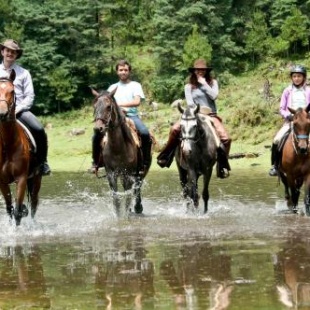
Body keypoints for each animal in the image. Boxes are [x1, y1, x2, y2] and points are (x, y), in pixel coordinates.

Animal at [0, 70, 42, 225]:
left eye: (12, 91)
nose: (2, 114)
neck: (8, 144)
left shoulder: (22, 179)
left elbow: (17, 211)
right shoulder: (2, 182)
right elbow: (9, 210)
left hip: (36, 178)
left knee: (34, 203)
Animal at [91, 87, 151, 216]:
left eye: (109, 106)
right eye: (95, 106)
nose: (98, 129)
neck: (117, 149)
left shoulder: (128, 174)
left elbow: (127, 197)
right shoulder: (111, 174)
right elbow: (116, 199)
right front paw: (119, 216)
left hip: (141, 172)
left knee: (137, 188)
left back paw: (138, 207)